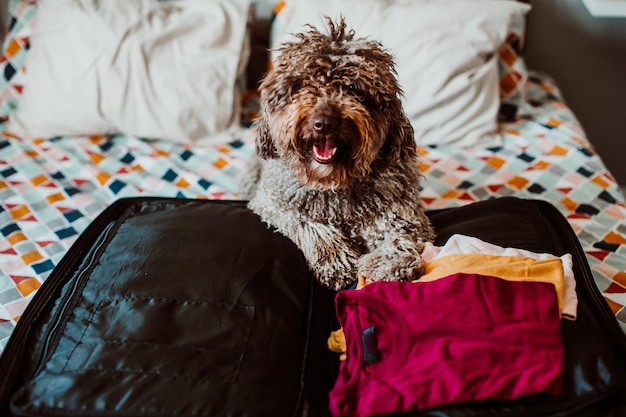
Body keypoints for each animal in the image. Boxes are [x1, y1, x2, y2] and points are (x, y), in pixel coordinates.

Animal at [241, 17, 432, 290]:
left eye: (354, 89)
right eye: (304, 84)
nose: (324, 123)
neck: (335, 184)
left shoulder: (403, 210)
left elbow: (401, 233)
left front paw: (388, 262)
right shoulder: (275, 203)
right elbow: (309, 224)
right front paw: (335, 260)